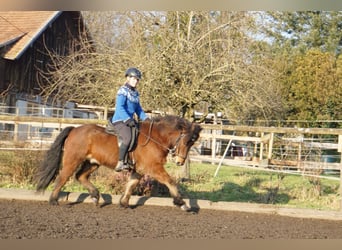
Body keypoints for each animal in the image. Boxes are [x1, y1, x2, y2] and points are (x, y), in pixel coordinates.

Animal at [34, 115, 202, 211]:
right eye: (187, 141)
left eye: (192, 142)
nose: (180, 161)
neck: (156, 138)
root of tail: (74, 129)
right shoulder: (153, 167)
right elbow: (170, 181)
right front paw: (181, 203)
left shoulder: (139, 170)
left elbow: (131, 185)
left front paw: (124, 203)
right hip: (73, 160)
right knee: (62, 177)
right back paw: (53, 201)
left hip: (92, 162)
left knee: (80, 176)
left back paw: (95, 196)